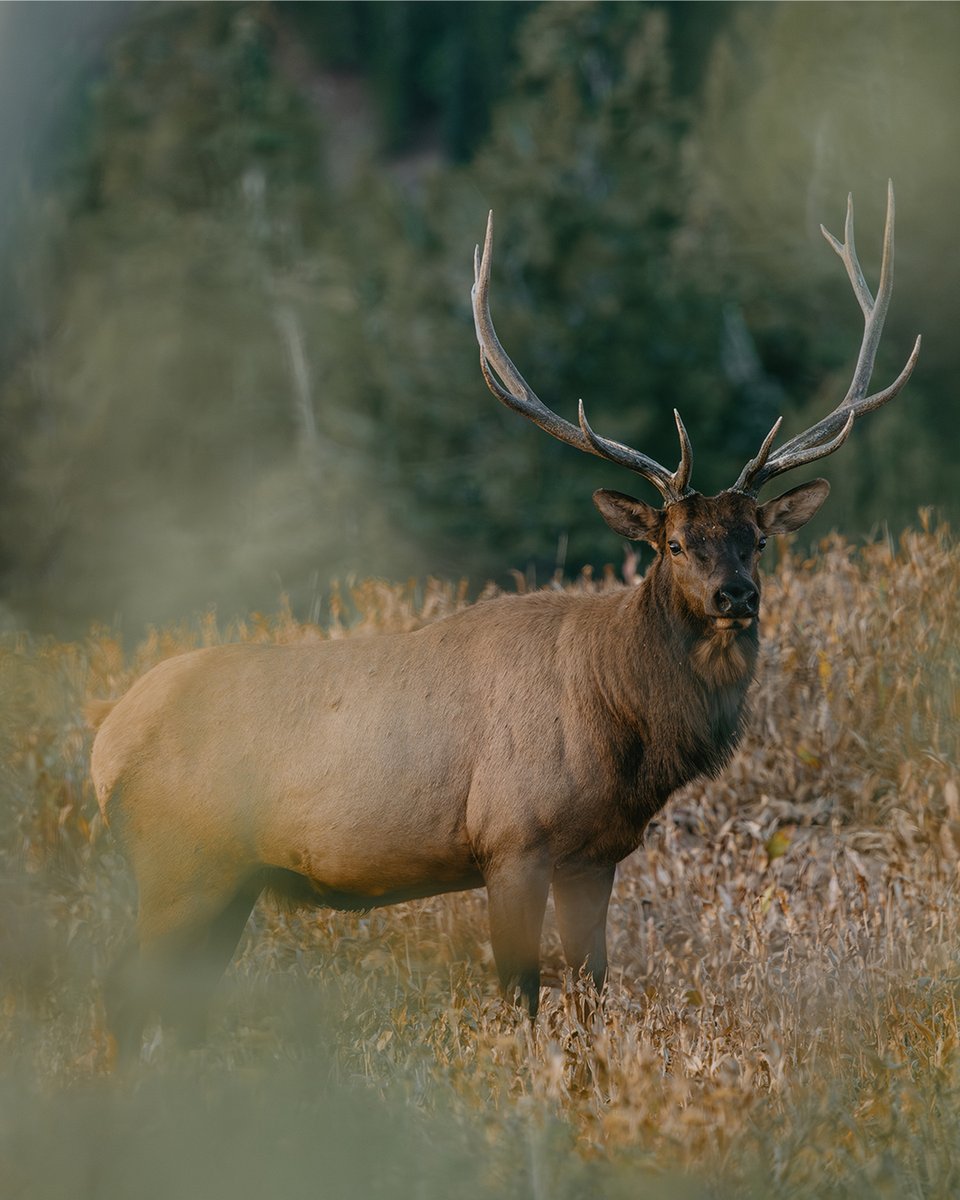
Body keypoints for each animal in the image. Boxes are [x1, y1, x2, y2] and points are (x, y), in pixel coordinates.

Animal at [91, 184, 919, 1055]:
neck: (624, 723)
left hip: (228, 880)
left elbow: (592, 990)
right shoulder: (513, 839)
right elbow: (520, 991)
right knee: (121, 991)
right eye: (674, 542)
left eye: (757, 539)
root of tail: (102, 744)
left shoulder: (598, 854)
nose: (736, 596)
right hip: (179, 864)